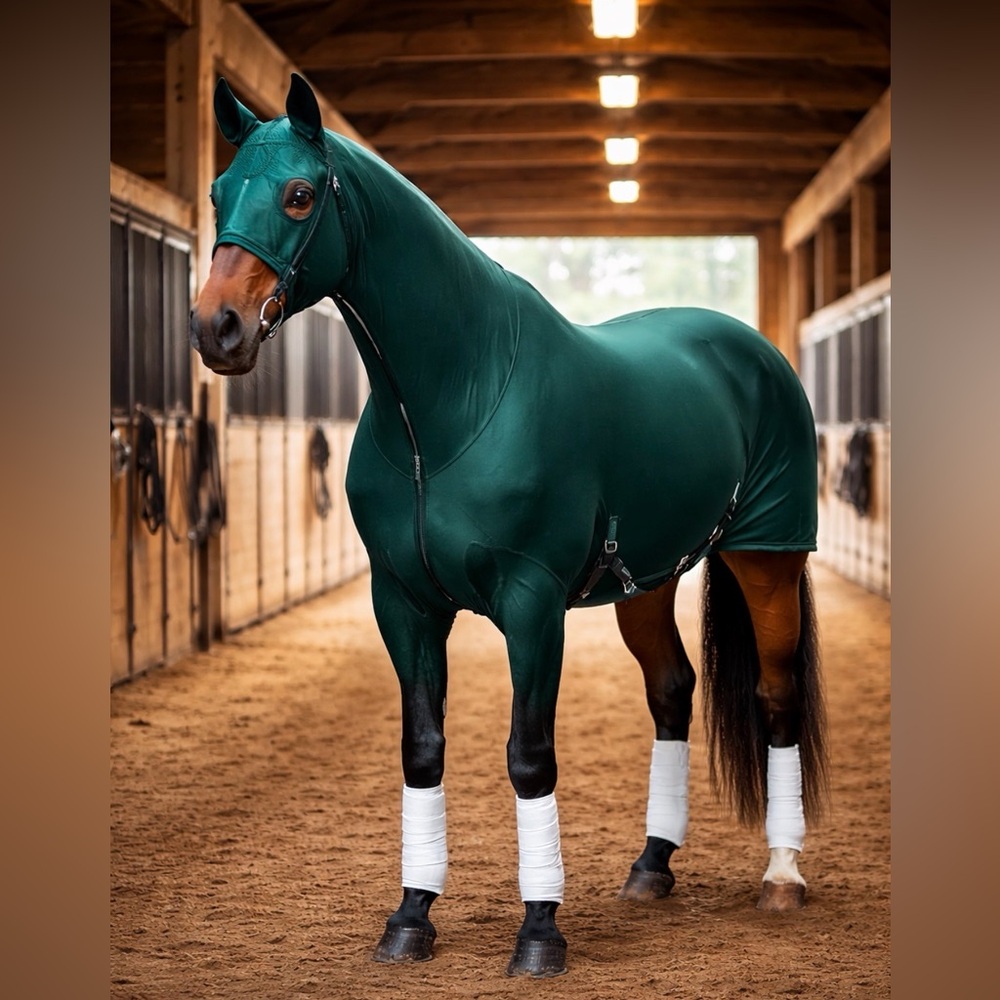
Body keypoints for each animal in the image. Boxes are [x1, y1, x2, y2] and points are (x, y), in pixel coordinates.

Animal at [190, 73, 828, 979]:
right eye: (217, 193)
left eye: (300, 194)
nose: (218, 328)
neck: (446, 407)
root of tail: (753, 350)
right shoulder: (405, 603)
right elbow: (423, 748)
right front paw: (410, 917)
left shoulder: (531, 605)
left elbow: (529, 757)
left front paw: (539, 932)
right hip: (647, 582)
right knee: (672, 691)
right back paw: (651, 866)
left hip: (766, 560)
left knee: (777, 698)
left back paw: (781, 876)